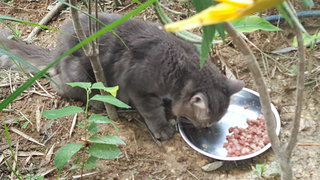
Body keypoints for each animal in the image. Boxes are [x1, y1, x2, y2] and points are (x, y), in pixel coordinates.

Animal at [0, 14, 244, 141]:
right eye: (207, 121)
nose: (206, 130)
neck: (182, 68)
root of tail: (57, 52)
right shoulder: (140, 88)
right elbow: (153, 113)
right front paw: (163, 128)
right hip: (79, 73)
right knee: (61, 85)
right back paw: (98, 103)